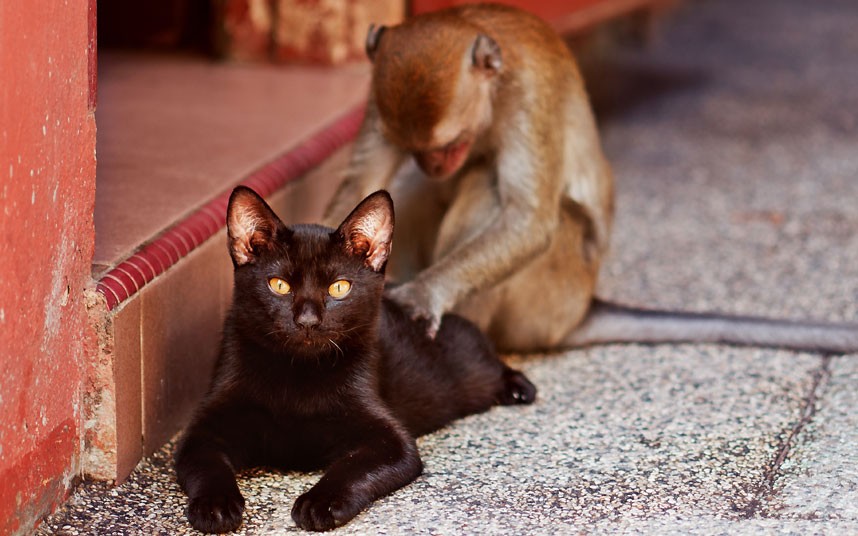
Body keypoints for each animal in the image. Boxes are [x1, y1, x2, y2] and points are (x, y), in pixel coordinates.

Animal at [174, 185, 536, 532]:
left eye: (339, 288)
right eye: (278, 285)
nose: (308, 320)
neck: (299, 374)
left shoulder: (392, 442)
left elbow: (351, 466)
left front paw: (319, 503)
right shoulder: (202, 431)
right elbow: (207, 464)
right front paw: (216, 505)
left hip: (466, 363)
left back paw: (519, 387)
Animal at [322, 5, 856, 356]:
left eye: (448, 146)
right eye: (417, 148)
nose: (434, 164)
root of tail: (581, 309)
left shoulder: (528, 93)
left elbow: (529, 220)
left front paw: (423, 295)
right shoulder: (377, 102)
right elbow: (361, 183)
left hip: (551, 294)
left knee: (486, 189)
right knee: (425, 188)